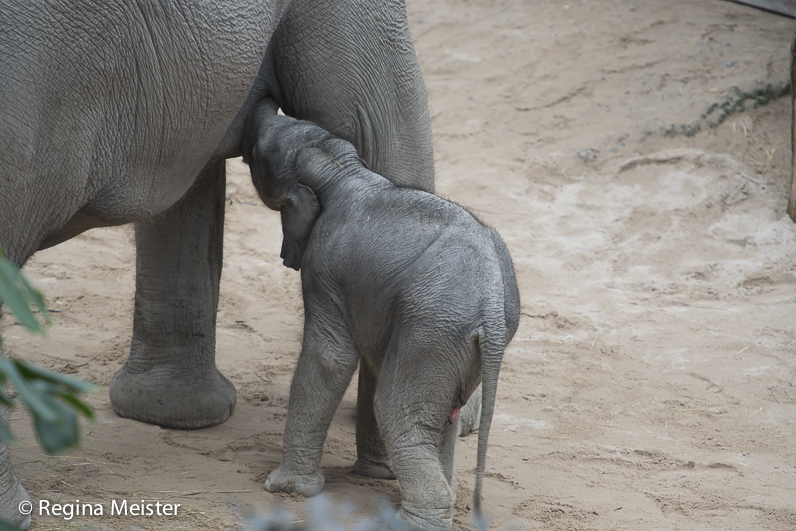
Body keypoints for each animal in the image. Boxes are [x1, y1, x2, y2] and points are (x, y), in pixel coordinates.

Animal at [239, 97, 520, 528]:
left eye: (256, 153)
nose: (264, 103)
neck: (339, 167)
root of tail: (489, 296)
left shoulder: (324, 268)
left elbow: (331, 358)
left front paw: (284, 489)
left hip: (433, 329)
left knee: (397, 411)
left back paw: (411, 521)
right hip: (463, 341)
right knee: (440, 418)